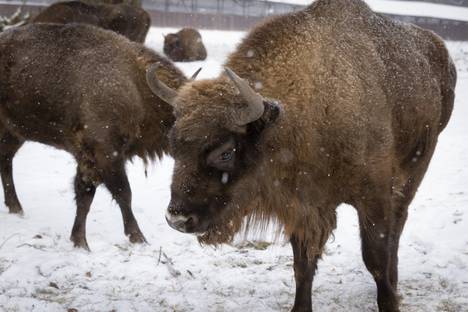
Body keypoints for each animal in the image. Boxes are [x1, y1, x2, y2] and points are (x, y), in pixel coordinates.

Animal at [0, 23, 189, 250]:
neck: (135, 84)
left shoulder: (94, 159)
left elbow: (86, 195)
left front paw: (79, 240)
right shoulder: (105, 154)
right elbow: (122, 193)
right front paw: (137, 238)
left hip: (14, 133)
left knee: (5, 161)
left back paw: (16, 209)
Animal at [147, 0, 458, 310]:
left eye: (225, 152)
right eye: (174, 145)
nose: (177, 219)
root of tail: (441, 52)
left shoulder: (373, 197)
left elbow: (375, 259)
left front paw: (389, 299)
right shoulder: (303, 205)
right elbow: (303, 264)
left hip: (416, 167)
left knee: (399, 222)